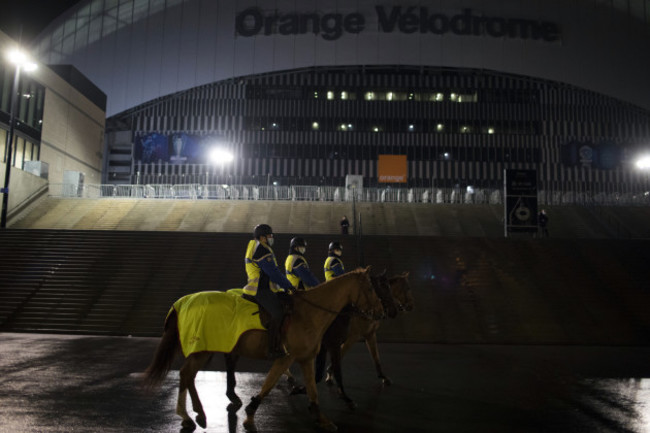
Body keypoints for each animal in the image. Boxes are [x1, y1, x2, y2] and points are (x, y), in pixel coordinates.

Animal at [142, 266, 380, 432]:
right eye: (370, 288)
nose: (380, 311)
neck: (309, 313)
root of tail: (183, 301)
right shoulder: (286, 358)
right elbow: (268, 384)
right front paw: (249, 415)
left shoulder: (306, 358)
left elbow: (313, 390)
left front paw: (321, 418)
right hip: (202, 349)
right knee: (186, 374)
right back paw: (189, 415)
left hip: (205, 349)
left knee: (189, 376)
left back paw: (197, 414)